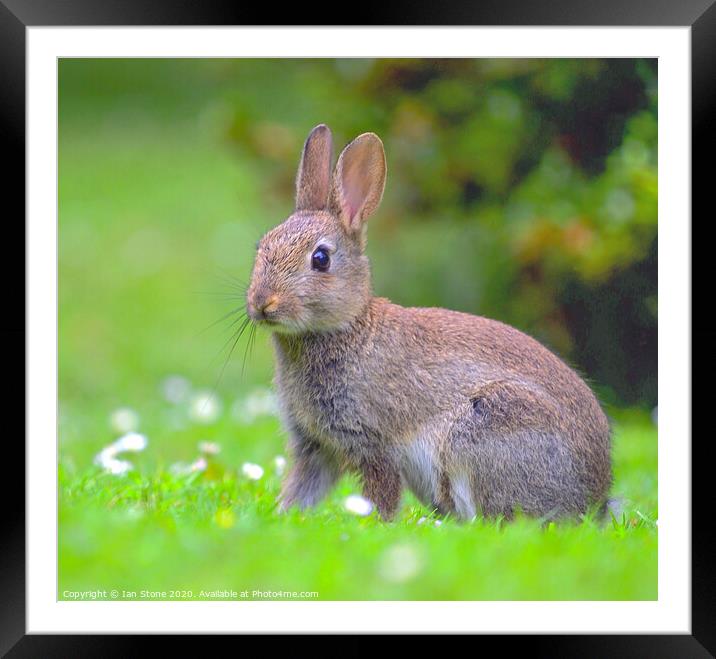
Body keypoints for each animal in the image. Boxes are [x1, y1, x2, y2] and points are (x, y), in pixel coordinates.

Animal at [246, 126, 608, 524]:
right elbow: (303, 487)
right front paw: (284, 516)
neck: (346, 327)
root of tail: (595, 499)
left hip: (487, 426)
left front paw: (376, 526)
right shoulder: (315, 445)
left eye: (321, 259)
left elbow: (382, 491)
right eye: (262, 246)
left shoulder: (374, 442)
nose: (262, 303)